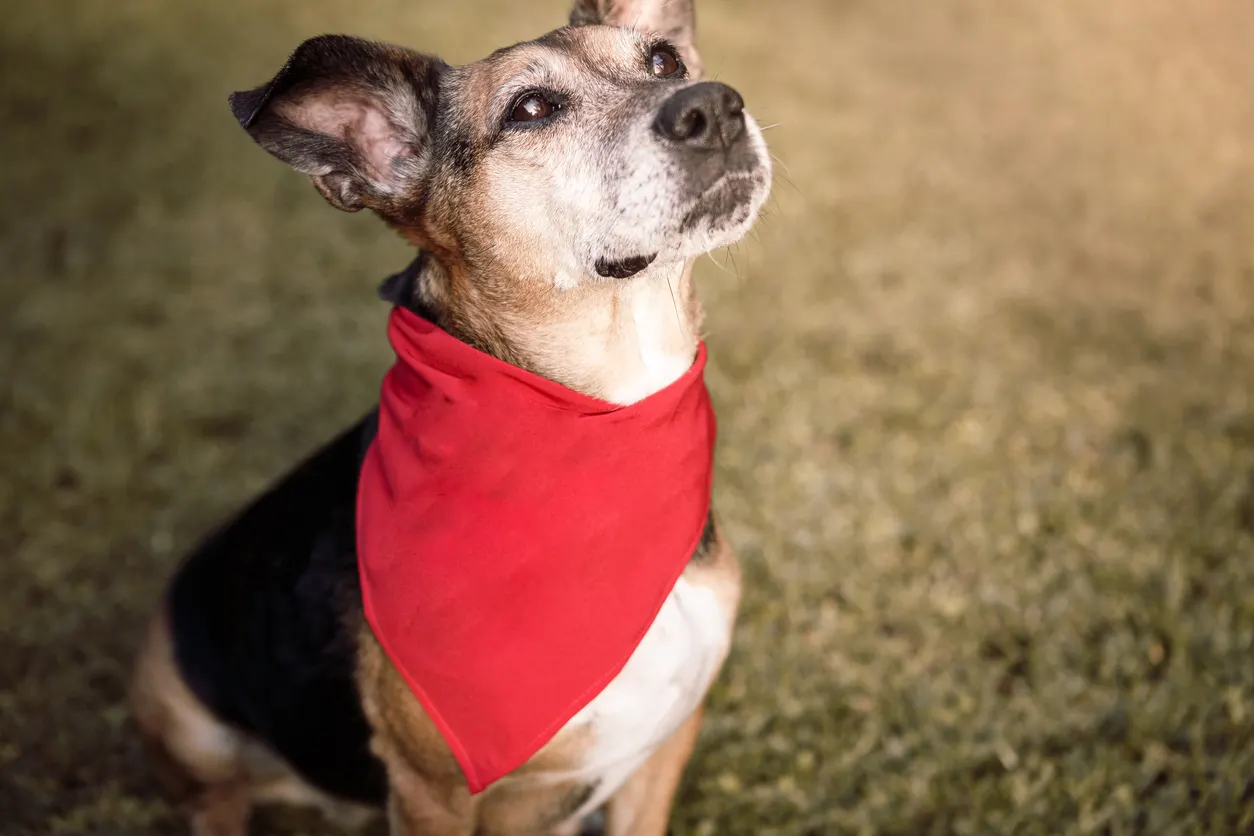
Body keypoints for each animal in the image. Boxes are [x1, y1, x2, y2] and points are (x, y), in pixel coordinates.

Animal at [129, 1, 772, 836]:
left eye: (664, 61)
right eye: (531, 109)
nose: (715, 107)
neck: (611, 413)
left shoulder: (665, 745)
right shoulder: (430, 792)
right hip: (182, 713)